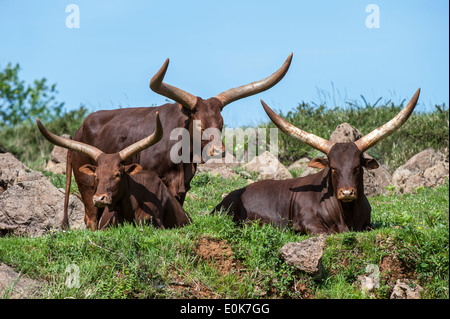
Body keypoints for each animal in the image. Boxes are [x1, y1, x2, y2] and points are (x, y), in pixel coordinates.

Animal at [66, 54, 292, 230]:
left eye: (221, 123)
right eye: (200, 124)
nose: (218, 150)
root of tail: (78, 130)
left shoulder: (182, 187)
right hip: (88, 185)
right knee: (91, 218)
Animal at [213, 89, 420, 236]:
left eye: (357, 167)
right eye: (333, 168)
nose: (346, 192)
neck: (346, 213)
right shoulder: (305, 222)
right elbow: (326, 234)